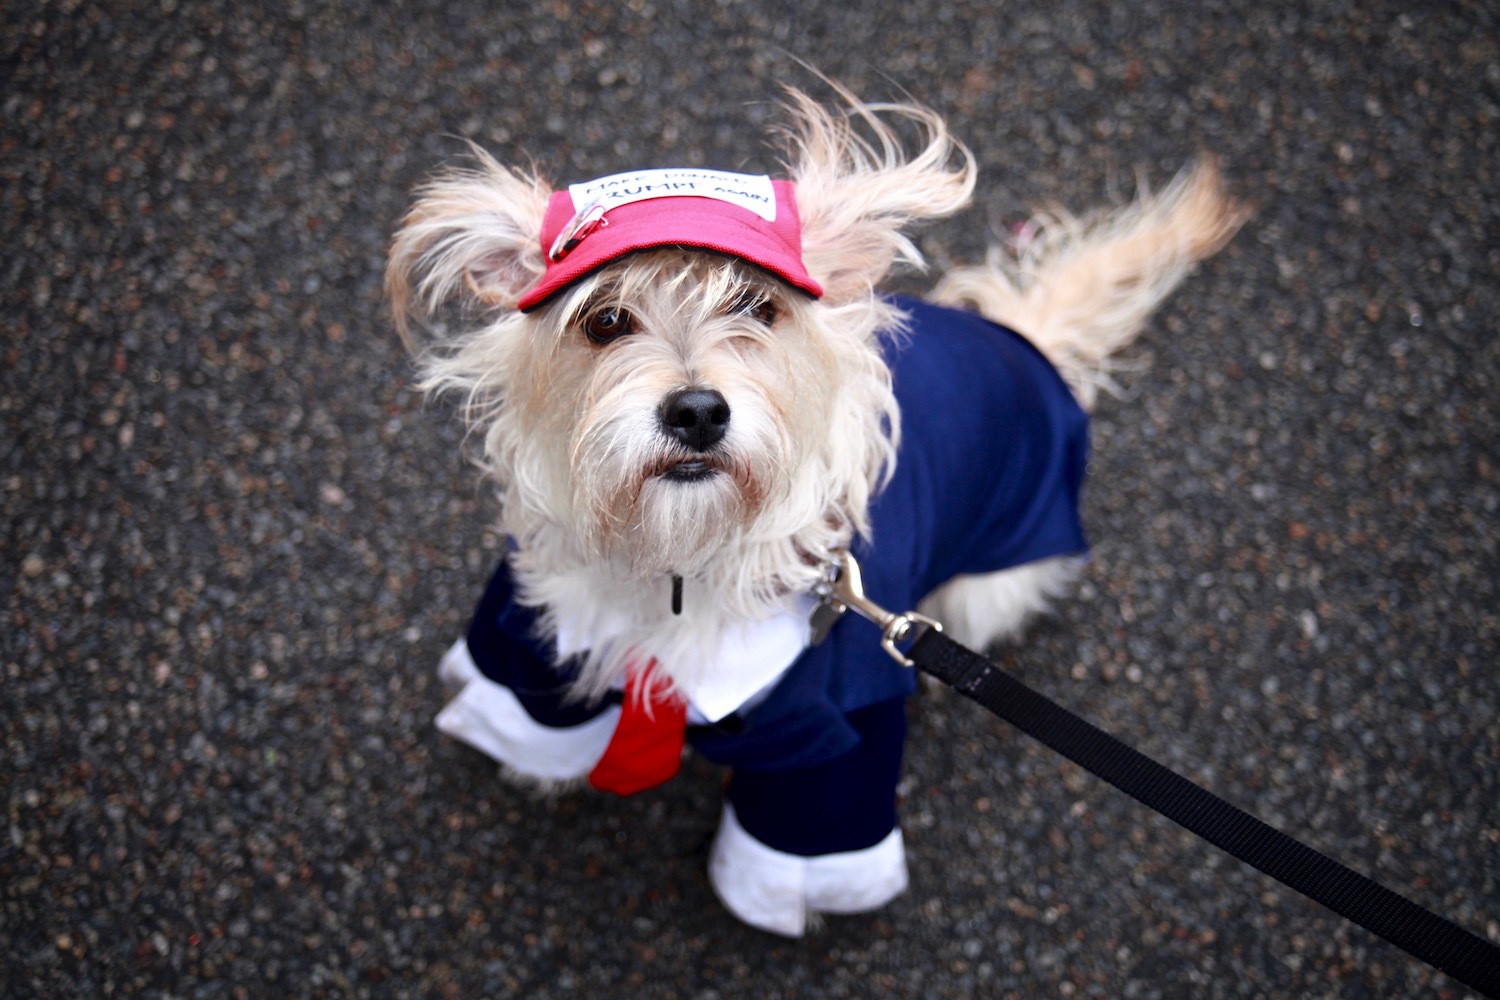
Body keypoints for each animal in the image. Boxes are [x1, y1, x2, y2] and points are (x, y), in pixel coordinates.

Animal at [384, 88, 1242, 941]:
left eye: (759, 307)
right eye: (603, 321)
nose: (697, 412)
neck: (682, 555)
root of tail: (1023, 339)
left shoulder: (842, 743)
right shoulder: (533, 637)